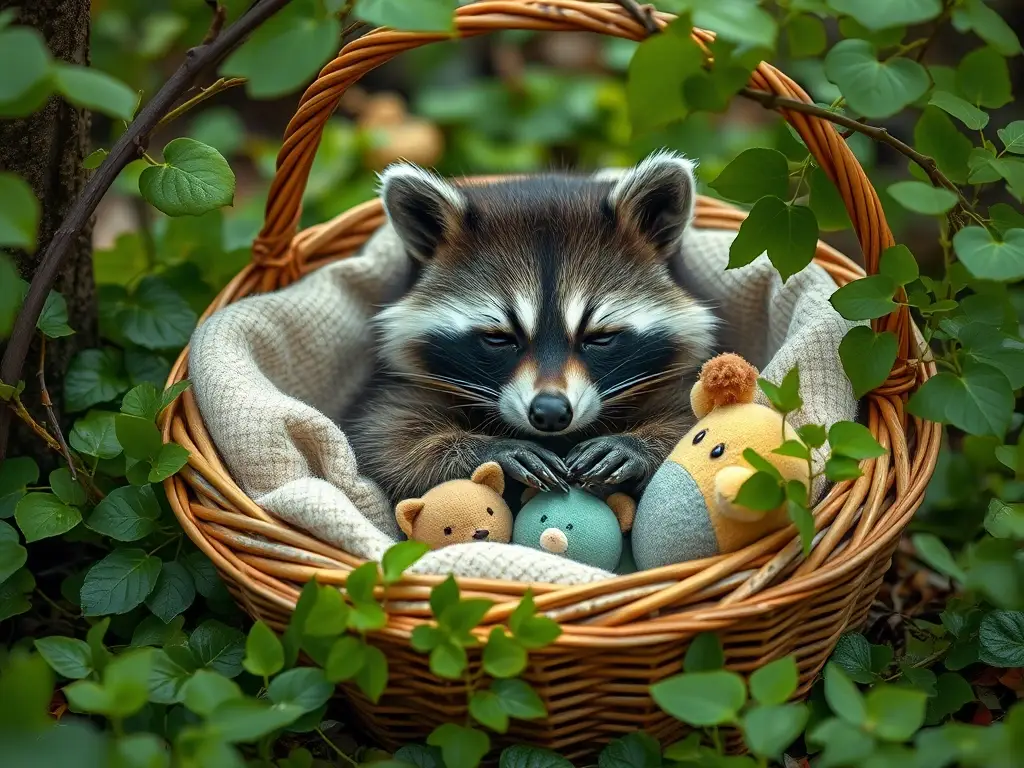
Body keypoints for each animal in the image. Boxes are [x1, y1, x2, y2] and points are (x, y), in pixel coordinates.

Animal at [347, 150, 718, 503]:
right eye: (498, 339)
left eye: (601, 338)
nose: (551, 413)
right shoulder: (401, 388)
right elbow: (385, 443)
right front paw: (489, 449)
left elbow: (695, 419)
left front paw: (635, 445)